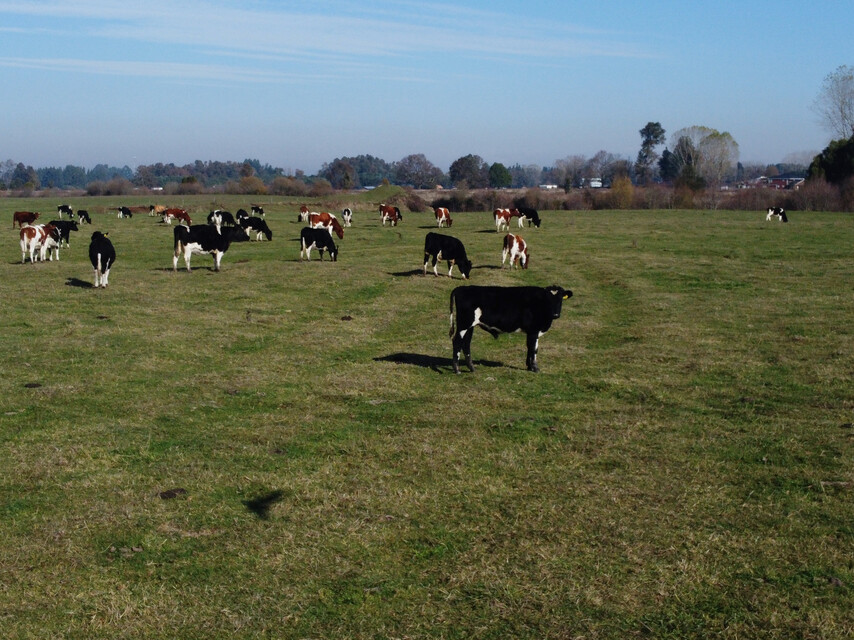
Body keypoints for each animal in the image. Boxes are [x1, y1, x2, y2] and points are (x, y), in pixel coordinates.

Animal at [448, 286, 576, 376]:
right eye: (548, 300)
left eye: (560, 299)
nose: (555, 314)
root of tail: (462, 288)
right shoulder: (534, 330)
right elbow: (534, 349)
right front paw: (535, 368)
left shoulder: (531, 332)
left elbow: (530, 347)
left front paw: (529, 366)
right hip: (464, 324)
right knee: (457, 341)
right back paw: (457, 369)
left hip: (470, 326)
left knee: (466, 343)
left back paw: (472, 368)